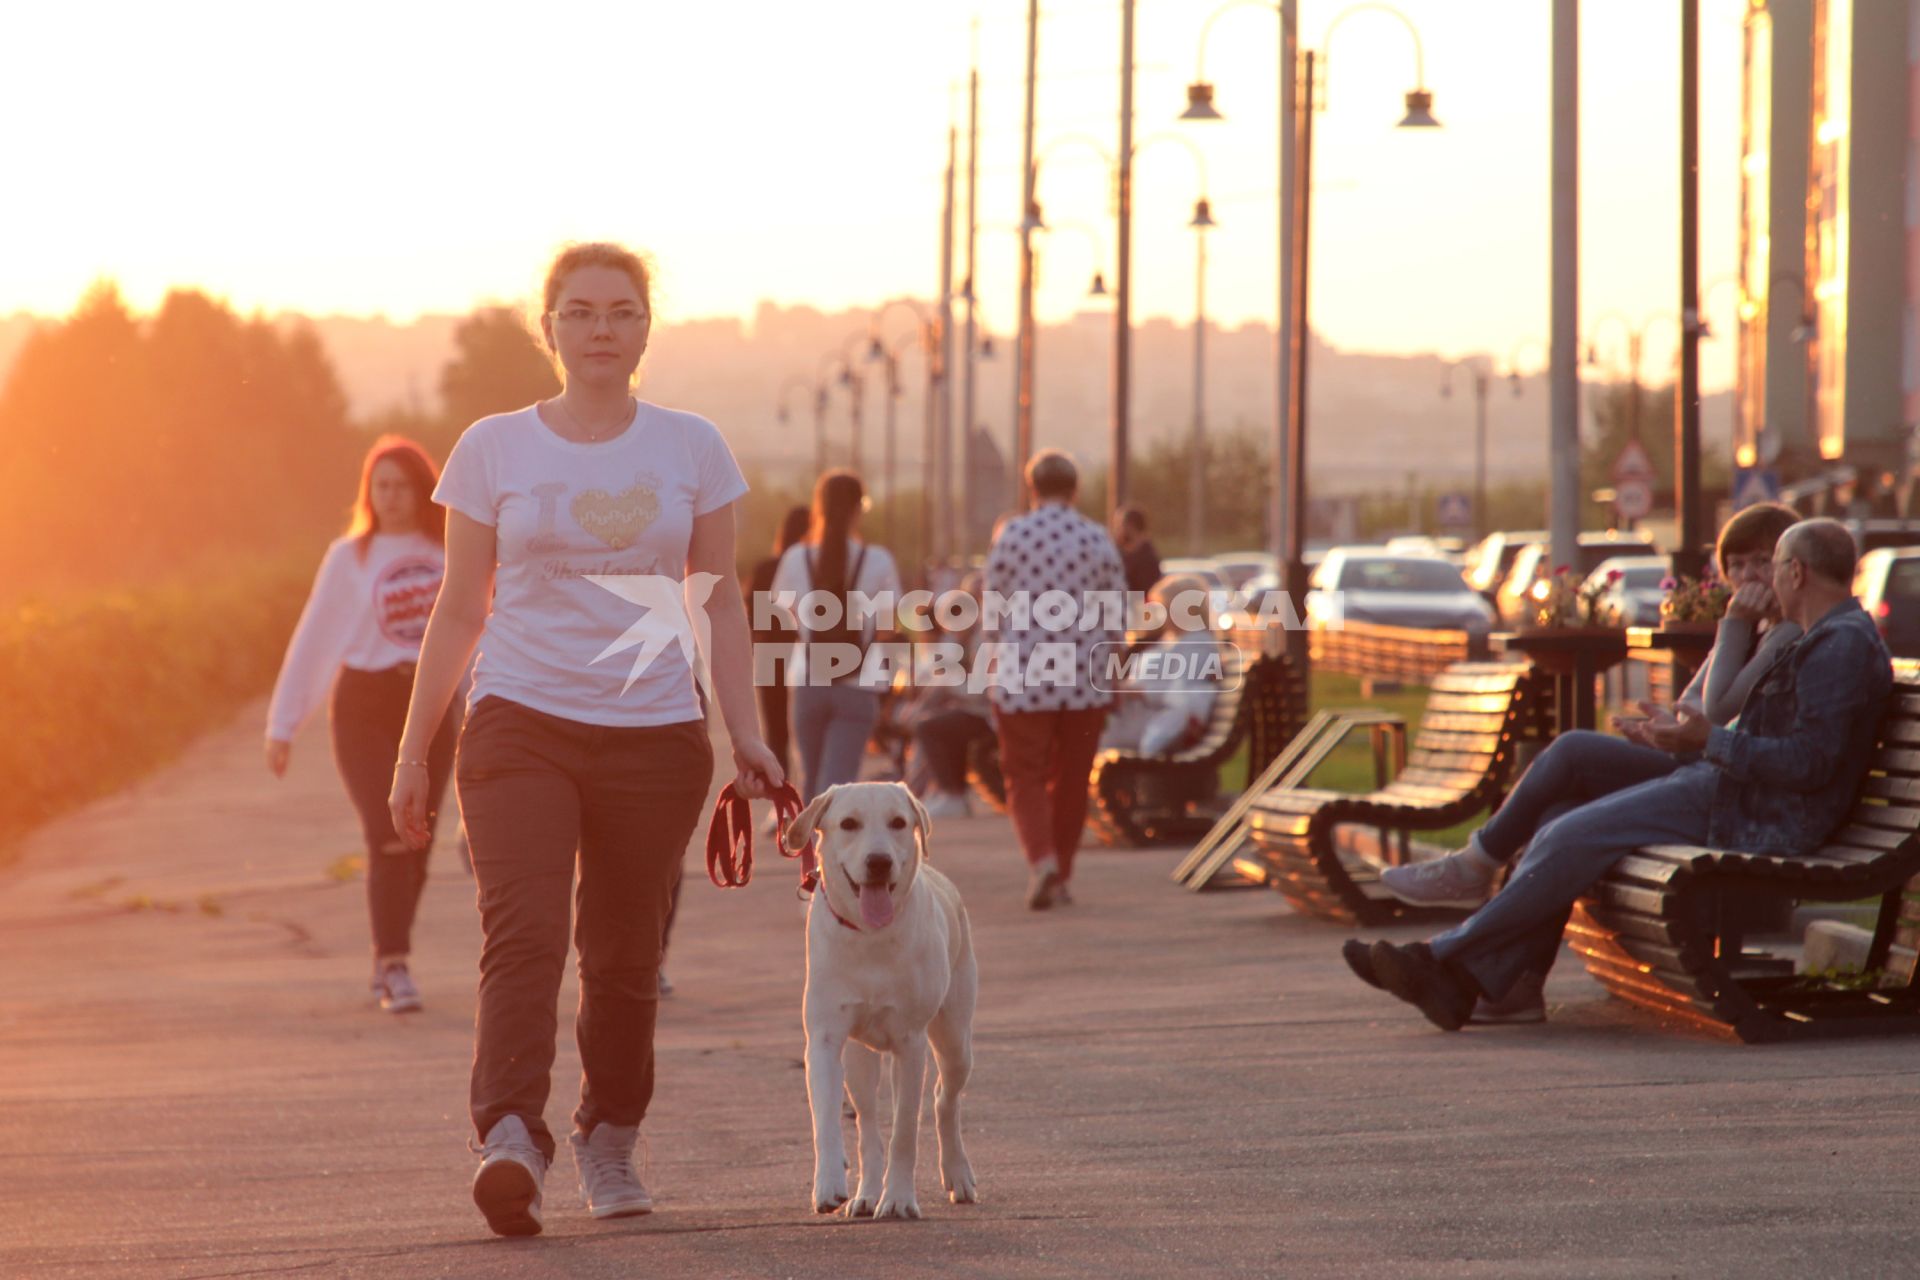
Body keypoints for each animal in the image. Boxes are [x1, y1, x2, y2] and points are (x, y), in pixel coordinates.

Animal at [779, 782, 983, 1220]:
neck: (870, 936)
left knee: (945, 1099)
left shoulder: (910, 1042)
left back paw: (957, 1174)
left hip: (955, 1038)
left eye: (898, 822)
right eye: (849, 823)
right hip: (860, 1058)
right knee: (867, 1123)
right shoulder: (824, 1038)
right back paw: (867, 1192)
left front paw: (900, 1198)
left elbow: (905, 1129)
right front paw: (829, 1185)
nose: (878, 861)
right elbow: (826, 1119)